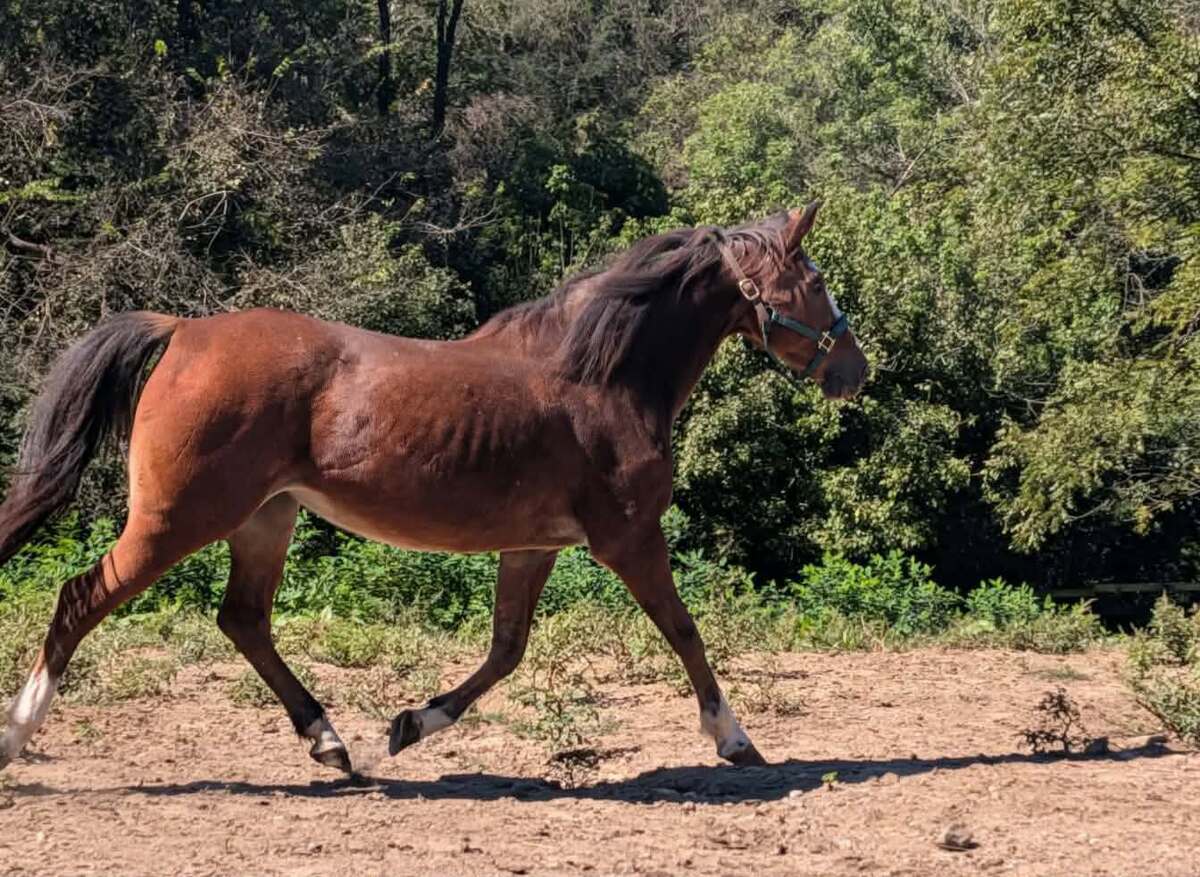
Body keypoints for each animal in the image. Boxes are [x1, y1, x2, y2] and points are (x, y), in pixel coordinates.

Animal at [0, 202, 867, 774]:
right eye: (818, 279)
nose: (856, 370)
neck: (601, 377)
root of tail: (183, 330)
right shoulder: (627, 536)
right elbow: (684, 631)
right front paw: (736, 739)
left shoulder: (534, 546)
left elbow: (506, 649)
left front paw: (413, 722)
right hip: (177, 518)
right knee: (82, 597)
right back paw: (17, 734)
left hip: (264, 518)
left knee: (243, 619)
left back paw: (332, 740)